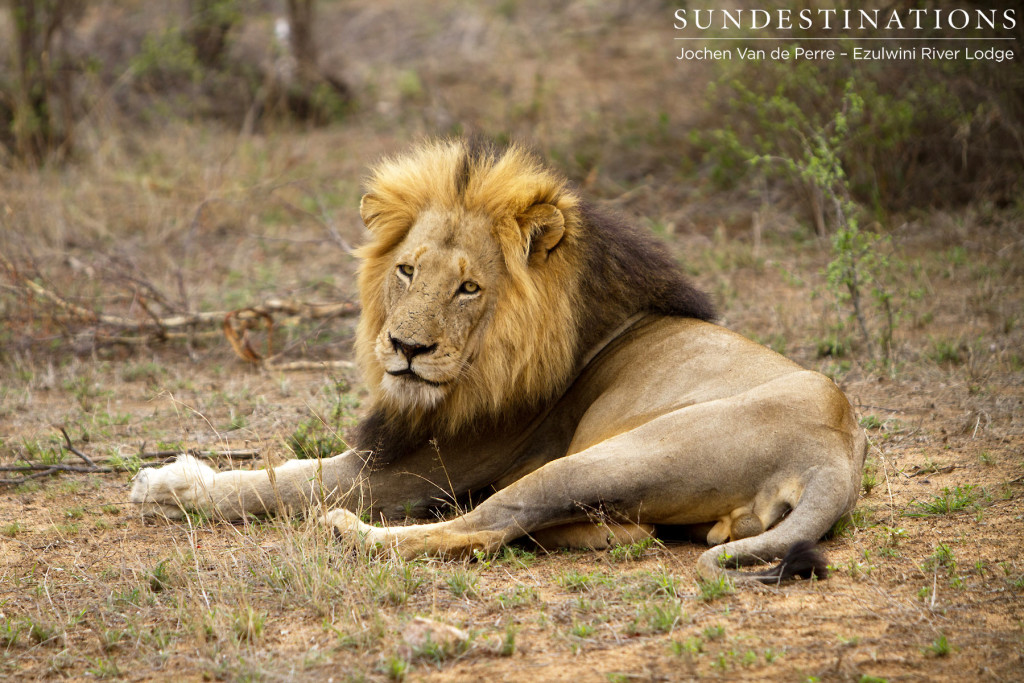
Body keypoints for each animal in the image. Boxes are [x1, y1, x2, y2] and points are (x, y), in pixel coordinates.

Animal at [128, 139, 864, 581]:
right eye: (406, 271)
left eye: (468, 288)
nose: (406, 349)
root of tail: (832, 451)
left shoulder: (412, 468)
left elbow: (281, 479)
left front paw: (170, 484)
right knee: (618, 532)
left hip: (607, 456)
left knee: (480, 528)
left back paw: (349, 534)